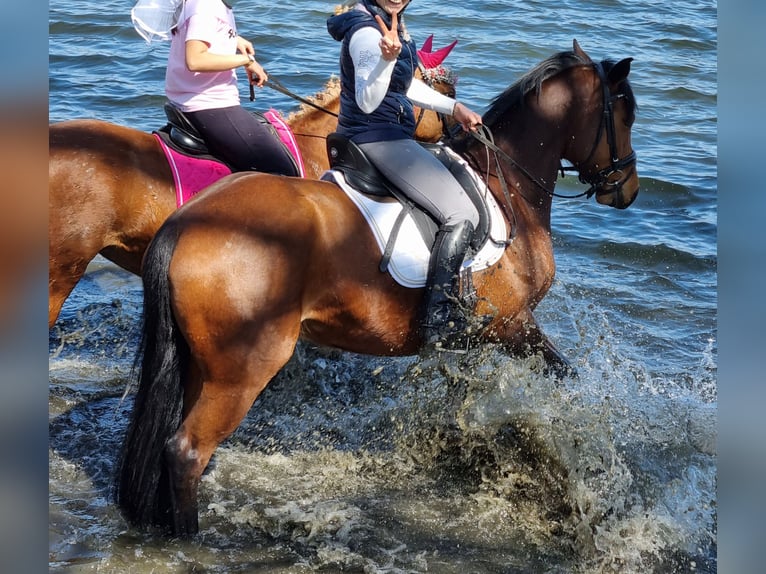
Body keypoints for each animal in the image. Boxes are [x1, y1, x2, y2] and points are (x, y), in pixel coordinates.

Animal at [115, 41, 640, 540]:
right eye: (625, 115)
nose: (628, 189)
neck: (505, 183)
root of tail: (187, 221)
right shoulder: (512, 326)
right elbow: (565, 378)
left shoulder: (473, 339)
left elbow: (466, 397)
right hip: (242, 369)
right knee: (186, 451)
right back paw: (190, 538)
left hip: (199, 363)